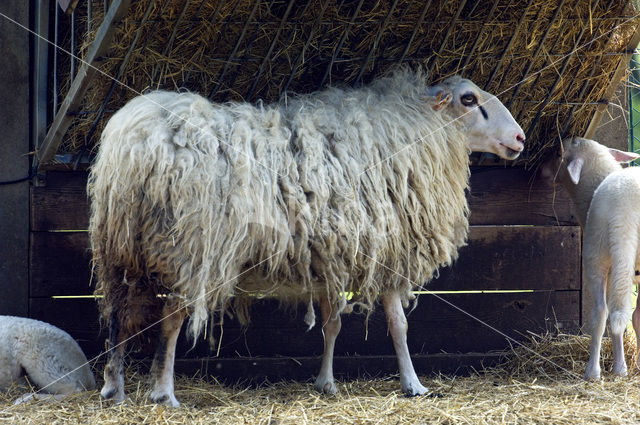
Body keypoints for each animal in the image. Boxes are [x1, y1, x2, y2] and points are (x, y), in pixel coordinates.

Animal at [89, 66, 524, 404]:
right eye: (468, 99)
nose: (520, 138)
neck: (416, 130)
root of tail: (133, 142)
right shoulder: (388, 251)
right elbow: (398, 325)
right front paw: (413, 384)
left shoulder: (334, 254)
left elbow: (332, 324)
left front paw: (326, 383)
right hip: (190, 248)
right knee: (171, 320)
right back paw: (164, 393)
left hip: (119, 247)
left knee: (117, 318)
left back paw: (114, 389)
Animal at [544, 137, 640, 380]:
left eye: (559, 153)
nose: (541, 170)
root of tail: (625, 210)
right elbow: (636, 317)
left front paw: (618, 368)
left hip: (595, 256)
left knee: (601, 313)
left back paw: (593, 371)